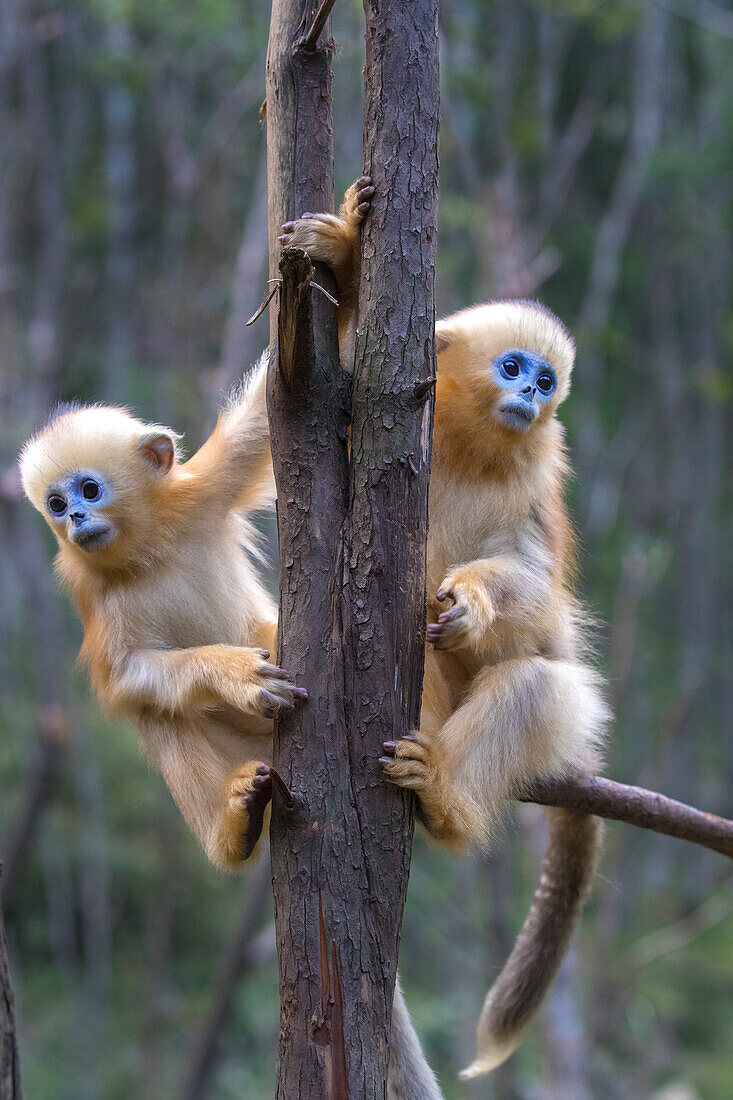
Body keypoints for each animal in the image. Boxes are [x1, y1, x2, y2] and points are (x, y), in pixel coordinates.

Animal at [19, 356, 305, 871]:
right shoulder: (94, 593)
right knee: (159, 710)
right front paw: (231, 672)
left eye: (89, 489)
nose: (74, 518)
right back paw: (235, 826)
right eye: (56, 503)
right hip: (259, 757)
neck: (148, 550)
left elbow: (258, 423)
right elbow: (125, 678)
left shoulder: (203, 495)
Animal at [279, 187, 611, 1073]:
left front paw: (472, 604)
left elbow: (535, 596)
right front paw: (345, 252)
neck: (468, 446)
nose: (531, 397)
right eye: (512, 367)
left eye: (545, 378)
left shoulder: (533, 486)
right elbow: (337, 383)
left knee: (536, 680)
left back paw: (443, 797)